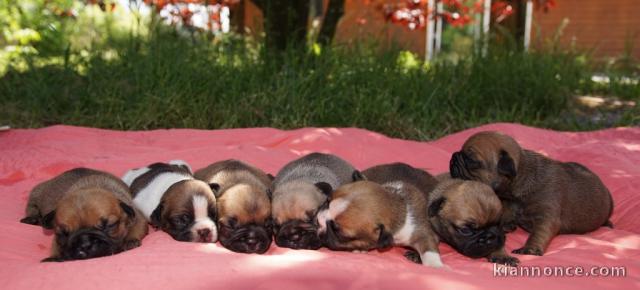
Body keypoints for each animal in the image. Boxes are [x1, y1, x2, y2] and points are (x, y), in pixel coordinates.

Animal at [20, 167, 148, 262]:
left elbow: (137, 228)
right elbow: (56, 247)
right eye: (64, 234)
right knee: (31, 206)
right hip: (37, 192)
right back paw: (31, 219)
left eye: (109, 225)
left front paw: (130, 241)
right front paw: (54, 257)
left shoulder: (138, 217)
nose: (85, 244)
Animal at [318, 181, 448, 268]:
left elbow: (429, 250)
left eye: (338, 232)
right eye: (326, 202)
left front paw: (435, 265)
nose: (318, 221)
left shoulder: (422, 233)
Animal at [450, 131, 616, 256]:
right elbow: (505, 215)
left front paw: (530, 249)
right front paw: (506, 225)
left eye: (471, 159)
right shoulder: (508, 204)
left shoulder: (546, 217)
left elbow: (538, 233)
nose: (453, 157)